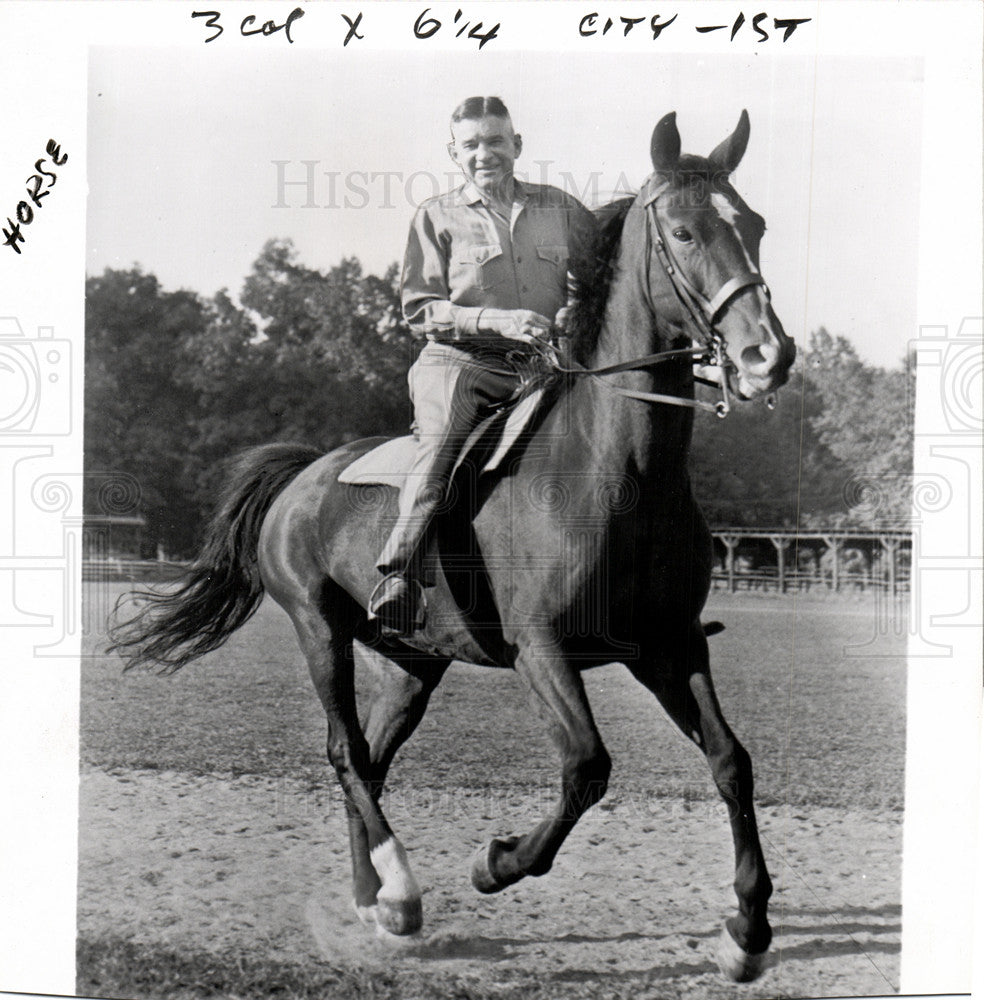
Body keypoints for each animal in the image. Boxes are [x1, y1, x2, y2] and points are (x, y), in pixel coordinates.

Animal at [111, 113, 796, 980]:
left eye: (757, 225)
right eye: (682, 231)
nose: (768, 353)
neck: (616, 472)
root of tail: (305, 472)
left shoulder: (669, 646)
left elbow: (732, 761)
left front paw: (748, 927)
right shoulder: (542, 649)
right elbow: (587, 766)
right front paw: (497, 863)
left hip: (413, 662)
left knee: (367, 758)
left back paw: (373, 896)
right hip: (318, 630)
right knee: (345, 750)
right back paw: (401, 893)